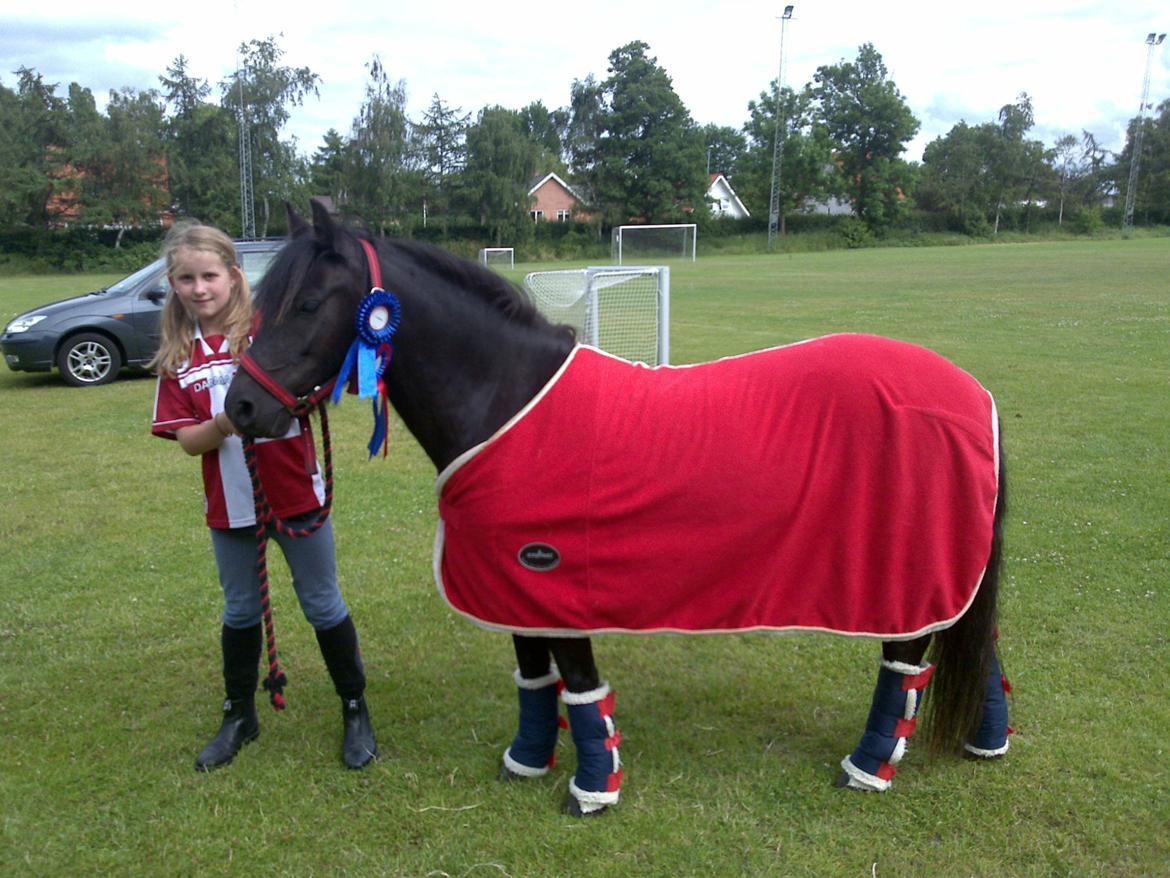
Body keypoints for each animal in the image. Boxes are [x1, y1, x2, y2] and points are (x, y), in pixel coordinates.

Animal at [223, 204, 1010, 819]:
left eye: (307, 304)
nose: (242, 408)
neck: (508, 399)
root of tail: (974, 395)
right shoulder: (515, 588)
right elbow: (534, 679)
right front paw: (525, 762)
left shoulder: (553, 581)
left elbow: (578, 685)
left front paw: (593, 789)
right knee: (981, 647)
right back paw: (985, 741)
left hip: (909, 578)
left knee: (905, 668)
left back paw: (868, 767)